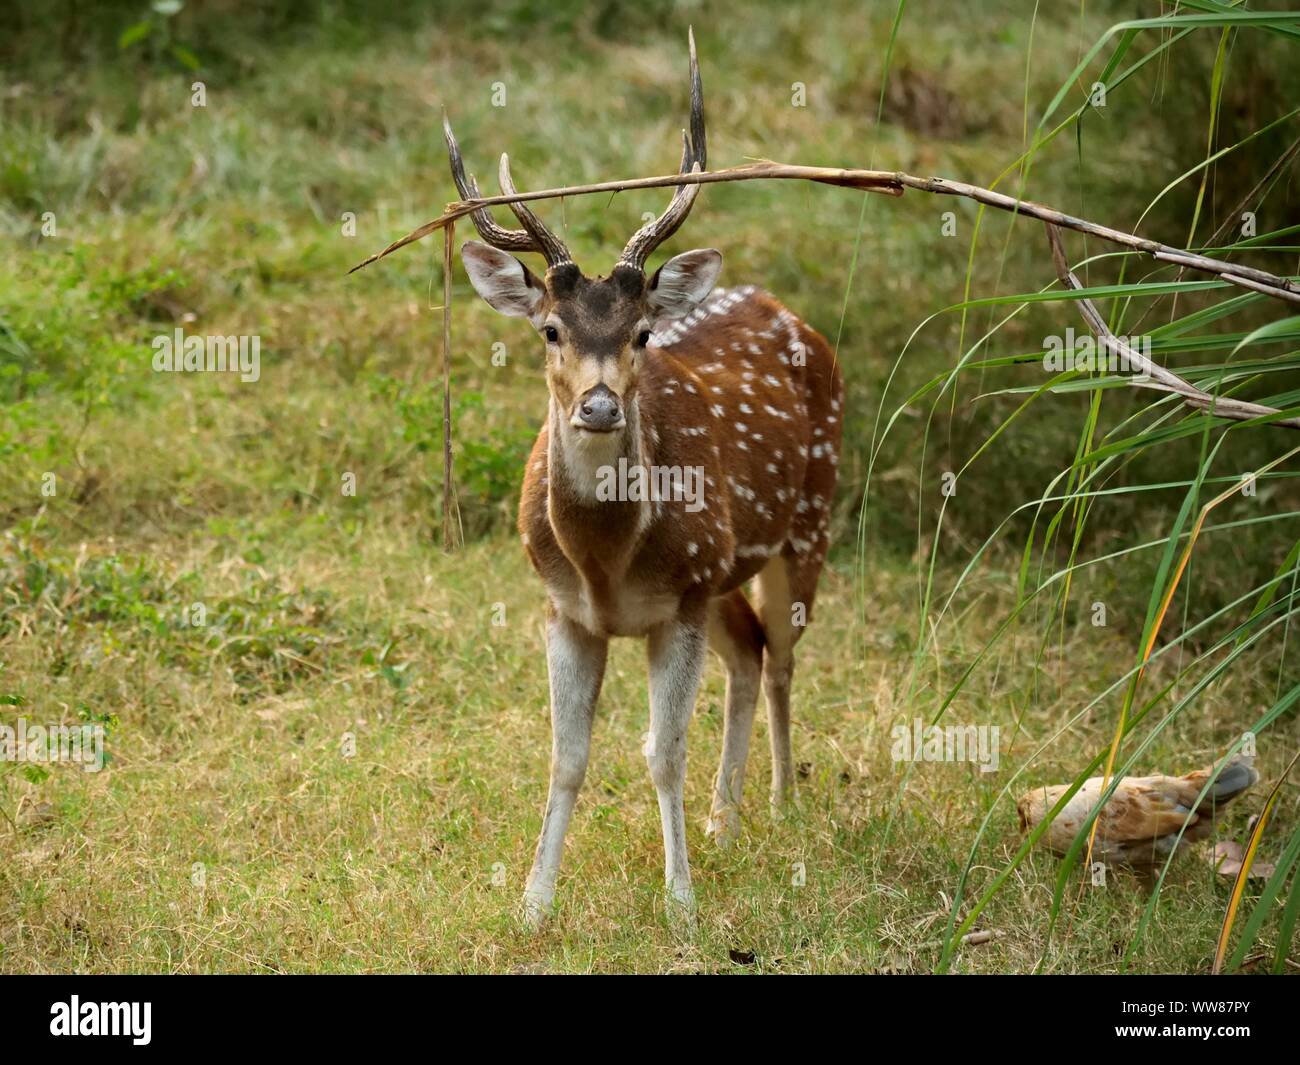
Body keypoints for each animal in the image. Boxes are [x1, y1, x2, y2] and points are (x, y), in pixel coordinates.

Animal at [443, 29, 843, 926]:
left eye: (643, 334)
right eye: (550, 329)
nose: (598, 405)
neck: (606, 560)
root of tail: (786, 309)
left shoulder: (682, 595)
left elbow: (664, 751)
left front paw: (681, 904)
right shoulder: (564, 607)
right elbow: (566, 756)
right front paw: (533, 905)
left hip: (808, 519)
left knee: (783, 655)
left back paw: (780, 806)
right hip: (725, 569)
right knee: (749, 653)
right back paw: (726, 821)